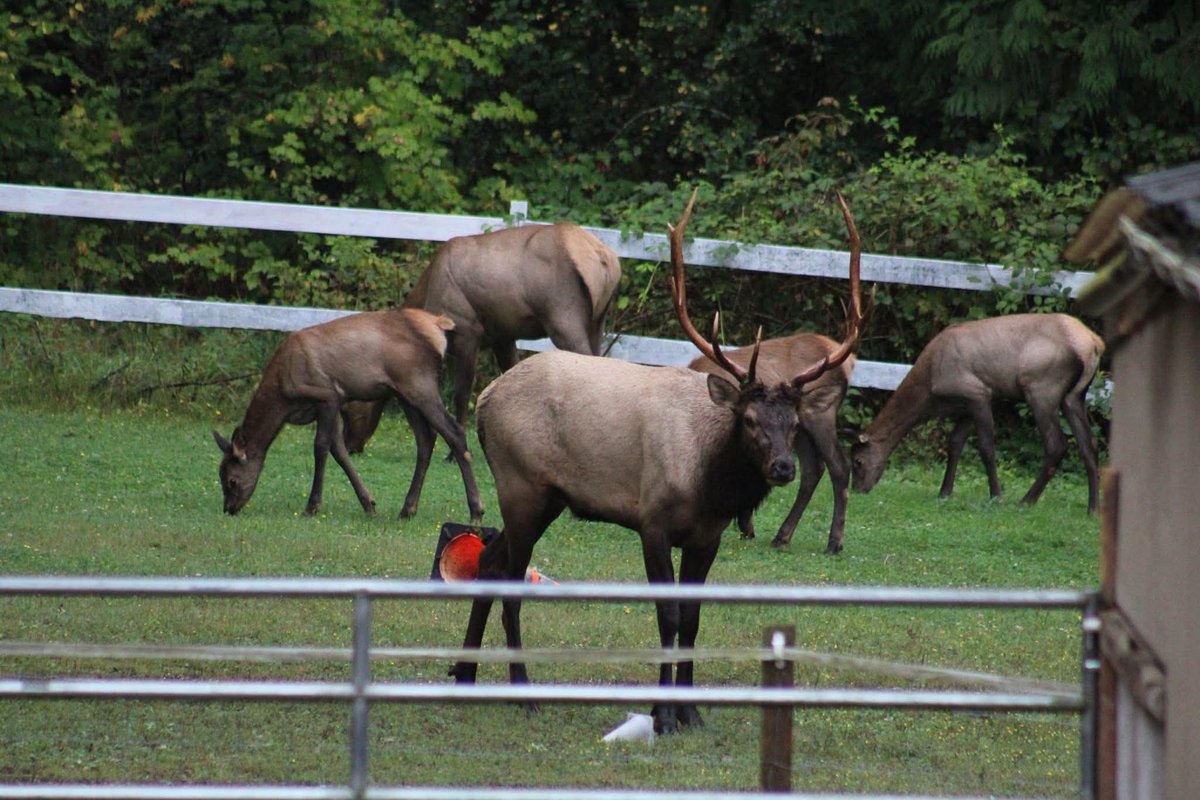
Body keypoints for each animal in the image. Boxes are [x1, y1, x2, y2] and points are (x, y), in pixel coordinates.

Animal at [211, 308, 484, 522]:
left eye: (232, 480)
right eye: (220, 476)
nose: (228, 509)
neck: (283, 396)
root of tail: (438, 326)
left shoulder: (326, 395)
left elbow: (321, 447)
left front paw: (312, 506)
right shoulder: (331, 406)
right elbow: (340, 451)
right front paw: (369, 504)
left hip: (420, 385)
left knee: (455, 432)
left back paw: (476, 511)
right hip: (404, 394)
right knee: (426, 440)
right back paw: (408, 509)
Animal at [340, 222, 622, 451]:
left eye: (349, 407)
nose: (350, 445)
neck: (428, 297)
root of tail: (606, 260)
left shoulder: (467, 331)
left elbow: (461, 393)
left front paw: (452, 453)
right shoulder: (503, 337)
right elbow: (508, 373)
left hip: (562, 315)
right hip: (597, 321)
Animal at [689, 334, 855, 554]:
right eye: (749, 420)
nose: (782, 469)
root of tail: (850, 361)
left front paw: (745, 528)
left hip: (819, 417)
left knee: (839, 465)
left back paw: (834, 543)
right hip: (803, 431)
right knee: (812, 468)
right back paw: (783, 536)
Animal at [850, 313, 1105, 513]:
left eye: (858, 461)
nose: (857, 490)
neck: (930, 392)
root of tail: (1094, 343)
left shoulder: (978, 393)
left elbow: (986, 447)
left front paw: (996, 496)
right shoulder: (966, 406)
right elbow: (954, 442)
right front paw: (944, 492)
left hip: (1041, 387)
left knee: (1057, 445)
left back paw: (1026, 501)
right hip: (1074, 396)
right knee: (1089, 443)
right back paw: (1092, 508)